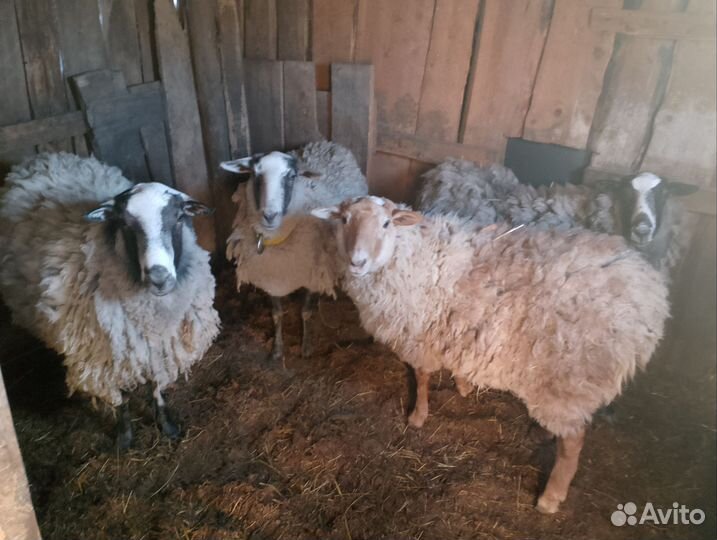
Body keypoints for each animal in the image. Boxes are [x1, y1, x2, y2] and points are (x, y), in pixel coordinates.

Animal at [0, 153, 220, 449]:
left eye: (178, 217)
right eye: (125, 224)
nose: (159, 278)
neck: (152, 316)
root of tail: (43, 157)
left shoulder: (156, 348)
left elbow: (156, 386)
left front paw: (167, 425)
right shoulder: (109, 353)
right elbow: (122, 397)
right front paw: (125, 437)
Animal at [220, 140, 368, 362]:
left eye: (291, 176)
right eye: (256, 174)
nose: (269, 215)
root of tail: (328, 143)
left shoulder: (312, 275)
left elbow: (305, 312)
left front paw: (306, 347)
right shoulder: (270, 278)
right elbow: (276, 314)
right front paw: (277, 349)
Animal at [313, 196, 669, 514]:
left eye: (386, 223)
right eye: (344, 220)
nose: (357, 262)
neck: (411, 255)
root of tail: (648, 295)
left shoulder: (418, 336)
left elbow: (422, 377)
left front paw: (417, 416)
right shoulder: (455, 330)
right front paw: (463, 386)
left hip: (569, 380)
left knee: (573, 442)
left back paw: (550, 498)